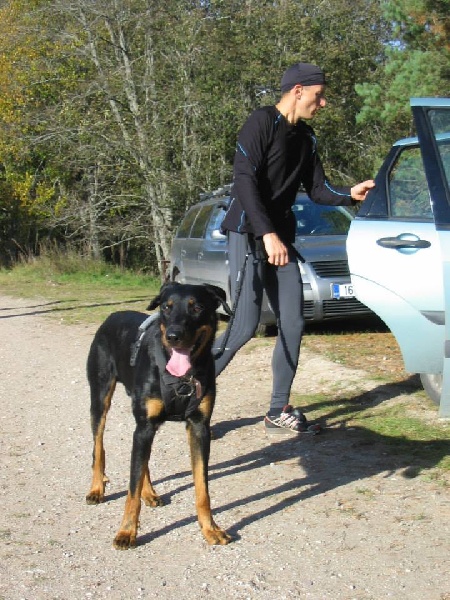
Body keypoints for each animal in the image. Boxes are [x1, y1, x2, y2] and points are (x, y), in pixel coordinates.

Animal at [85, 282, 232, 548]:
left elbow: (202, 488)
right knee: (98, 447)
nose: (173, 336)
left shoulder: (199, 427)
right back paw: (96, 488)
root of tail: (112, 315)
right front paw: (126, 532)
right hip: (101, 399)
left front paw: (210, 528)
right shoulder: (144, 425)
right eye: (166, 307)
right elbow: (131, 489)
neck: (182, 378)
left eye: (198, 307)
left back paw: (149, 492)